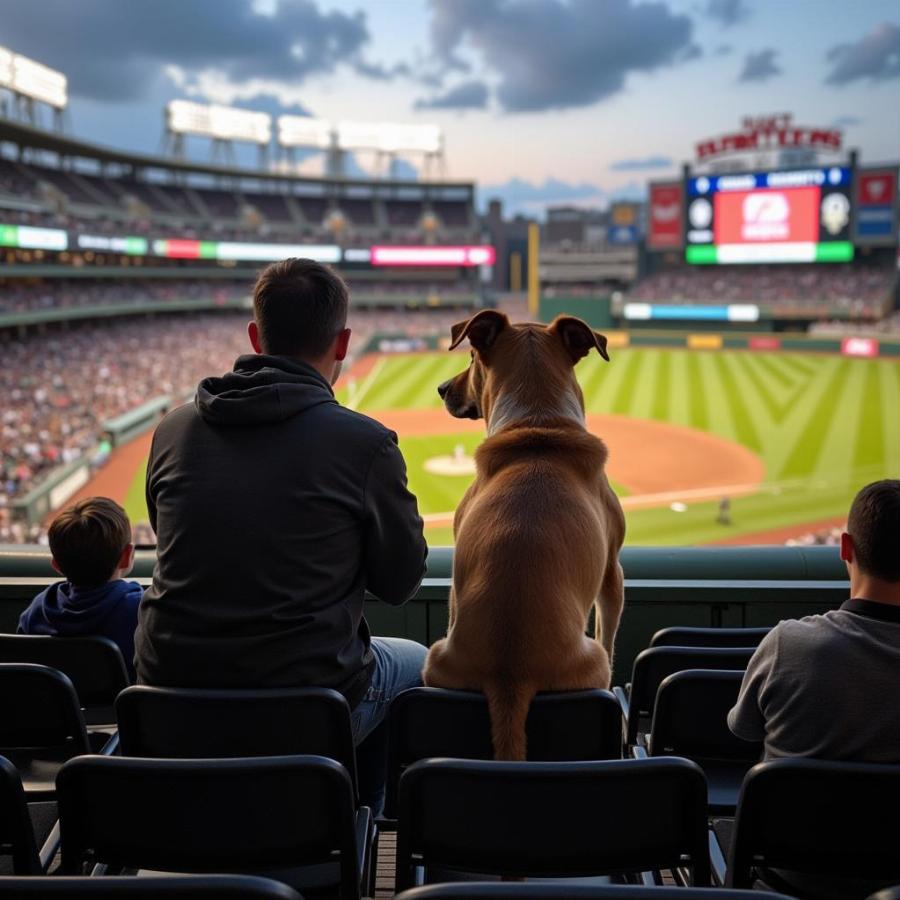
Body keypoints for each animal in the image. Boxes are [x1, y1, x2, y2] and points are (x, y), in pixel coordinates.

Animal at [422, 310, 624, 760]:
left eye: (472, 359)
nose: (441, 388)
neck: (537, 420)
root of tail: (510, 676)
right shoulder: (613, 574)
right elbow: (610, 633)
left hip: (436, 658)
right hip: (592, 660)